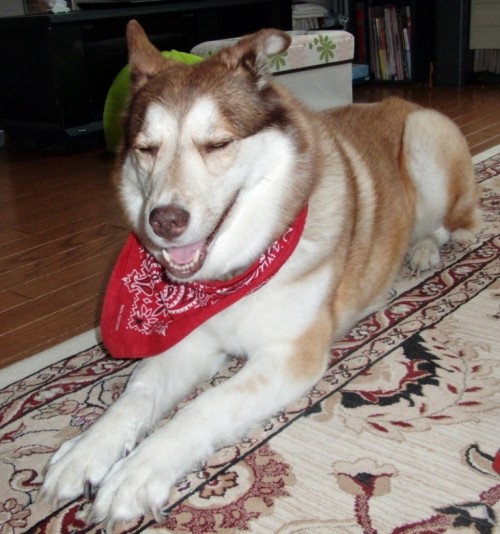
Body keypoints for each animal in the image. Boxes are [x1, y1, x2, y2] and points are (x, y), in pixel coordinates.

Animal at [40, 19, 480, 528]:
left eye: (218, 143)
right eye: (146, 149)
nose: (164, 221)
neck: (233, 273)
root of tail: (402, 101)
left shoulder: (287, 355)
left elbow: (204, 406)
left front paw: (136, 473)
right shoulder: (189, 339)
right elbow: (138, 392)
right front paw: (84, 452)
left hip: (425, 142)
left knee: (449, 224)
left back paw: (424, 250)